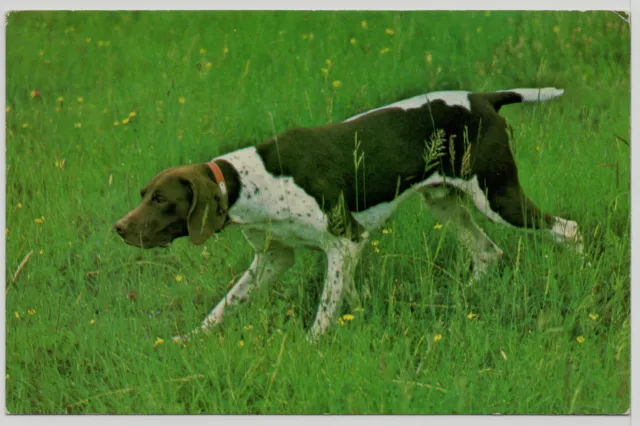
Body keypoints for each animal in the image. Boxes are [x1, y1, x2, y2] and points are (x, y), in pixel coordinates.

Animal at [112, 88, 584, 342]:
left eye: (161, 200)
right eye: (144, 194)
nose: (118, 229)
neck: (249, 182)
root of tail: (483, 97)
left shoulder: (345, 240)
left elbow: (325, 309)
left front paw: (310, 345)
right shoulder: (274, 257)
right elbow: (223, 307)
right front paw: (187, 339)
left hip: (498, 198)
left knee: (568, 229)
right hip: (445, 202)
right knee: (487, 253)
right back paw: (460, 300)